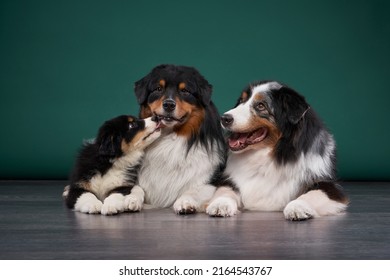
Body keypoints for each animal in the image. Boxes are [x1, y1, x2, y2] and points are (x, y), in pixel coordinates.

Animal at [134, 64, 225, 214]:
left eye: (185, 91)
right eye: (158, 89)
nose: (169, 104)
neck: (170, 135)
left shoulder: (211, 180)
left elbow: (194, 190)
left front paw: (184, 202)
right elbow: (136, 188)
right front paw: (129, 199)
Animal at [209, 81, 348, 221]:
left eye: (261, 105)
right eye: (241, 101)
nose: (224, 118)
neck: (269, 155)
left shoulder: (329, 184)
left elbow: (313, 193)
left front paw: (297, 207)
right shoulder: (229, 180)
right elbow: (225, 190)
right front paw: (220, 204)